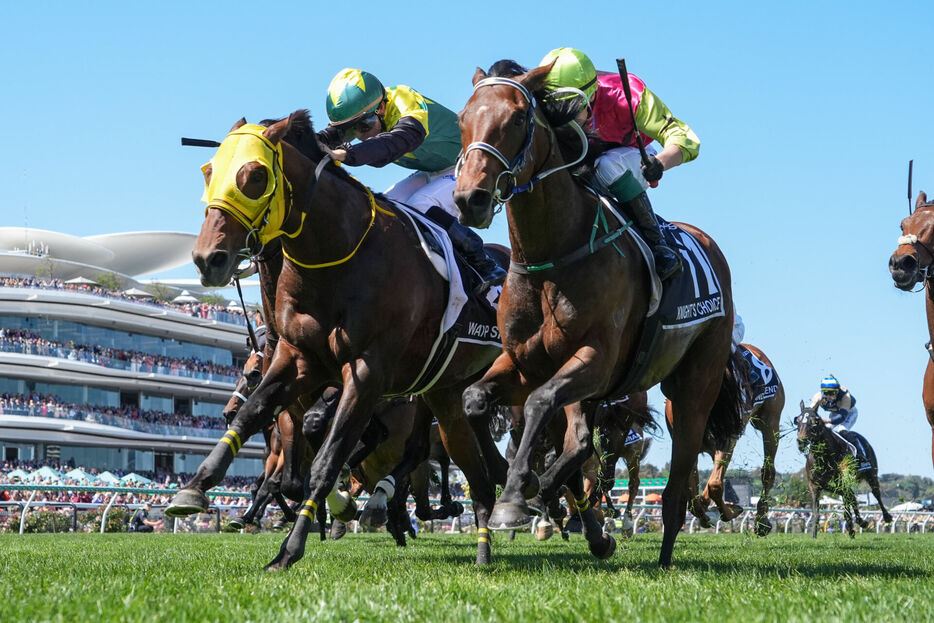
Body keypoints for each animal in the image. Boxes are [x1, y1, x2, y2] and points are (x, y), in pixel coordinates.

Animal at [165, 112, 508, 572]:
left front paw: (291, 549)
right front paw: (195, 488)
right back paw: (484, 544)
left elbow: (325, 461)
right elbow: (255, 419)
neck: (336, 257)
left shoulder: (365, 372)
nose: (208, 259)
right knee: (474, 462)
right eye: (208, 172)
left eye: (255, 175)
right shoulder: (297, 359)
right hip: (447, 391)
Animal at [676, 342, 788, 536]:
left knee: (767, 471)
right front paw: (709, 511)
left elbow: (713, 484)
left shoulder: (726, 439)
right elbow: (695, 492)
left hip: (770, 421)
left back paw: (761, 521)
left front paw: (727, 512)